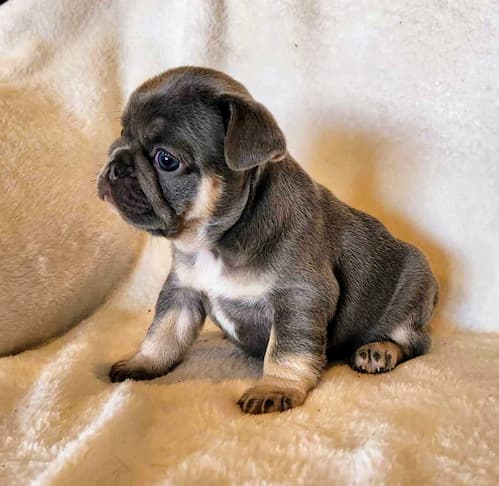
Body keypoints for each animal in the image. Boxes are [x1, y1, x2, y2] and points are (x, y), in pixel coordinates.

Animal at [96, 66, 438, 416]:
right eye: (122, 133)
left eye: (166, 160)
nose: (116, 162)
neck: (217, 240)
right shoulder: (182, 290)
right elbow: (164, 332)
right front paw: (144, 362)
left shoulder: (299, 297)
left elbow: (286, 349)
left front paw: (275, 386)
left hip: (412, 293)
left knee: (414, 342)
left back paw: (378, 349)